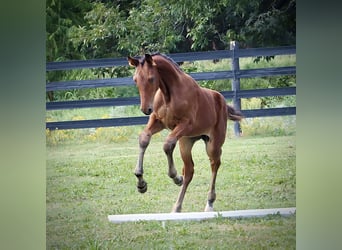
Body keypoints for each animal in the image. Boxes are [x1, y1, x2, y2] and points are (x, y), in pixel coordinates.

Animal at [128, 53, 243, 212]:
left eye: (151, 78)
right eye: (135, 79)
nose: (146, 109)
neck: (169, 94)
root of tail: (223, 102)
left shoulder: (185, 124)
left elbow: (167, 144)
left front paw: (175, 177)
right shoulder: (158, 120)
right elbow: (144, 139)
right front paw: (141, 183)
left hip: (212, 144)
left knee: (214, 164)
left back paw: (209, 203)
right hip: (186, 142)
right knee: (189, 171)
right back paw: (177, 207)